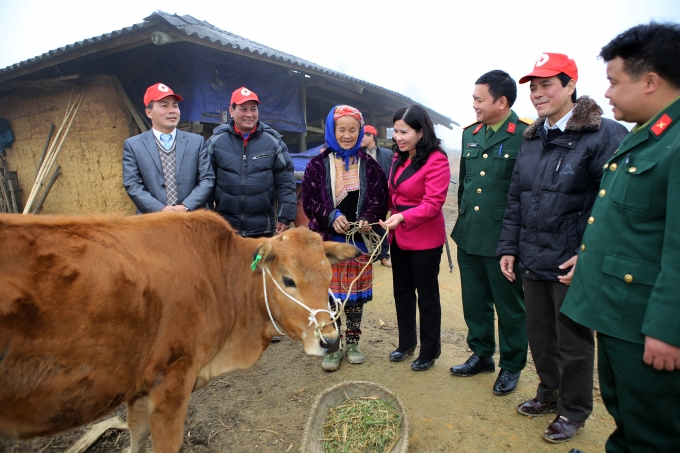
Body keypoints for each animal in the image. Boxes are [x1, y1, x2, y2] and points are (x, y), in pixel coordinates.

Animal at [0, 210, 358, 450]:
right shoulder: (171, 383)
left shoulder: (138, 388)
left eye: (329, 276)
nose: (330, 340)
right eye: (287, 280)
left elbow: (136, 437)